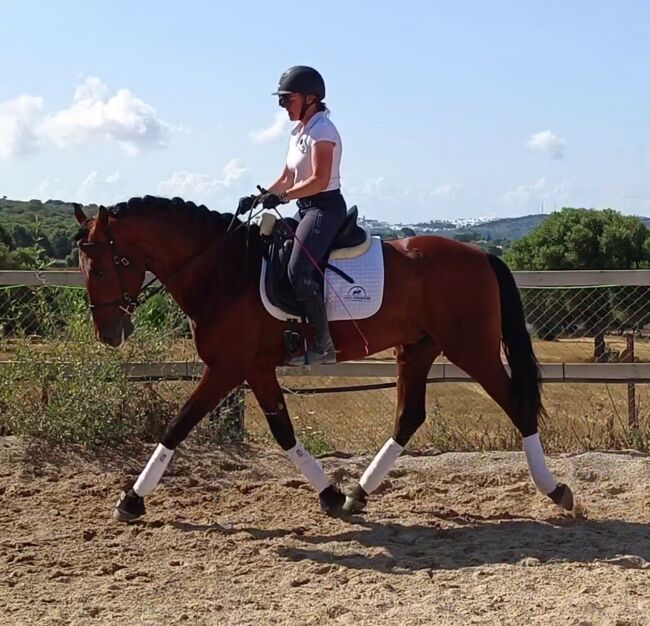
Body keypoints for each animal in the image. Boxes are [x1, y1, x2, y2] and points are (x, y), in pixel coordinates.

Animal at [73, 195, 572, 516]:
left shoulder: (227, 368)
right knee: (409, 417)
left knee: (517, 404)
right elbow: (282, 431)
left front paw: (131, 499)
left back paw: (555, 490)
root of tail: (480, 255)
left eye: (101, 269)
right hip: (417, 349)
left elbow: (179, 424)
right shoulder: (255, 368)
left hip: (471, 349)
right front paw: (331, 495)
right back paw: (358, 494)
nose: (109, 333)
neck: (223, 271)